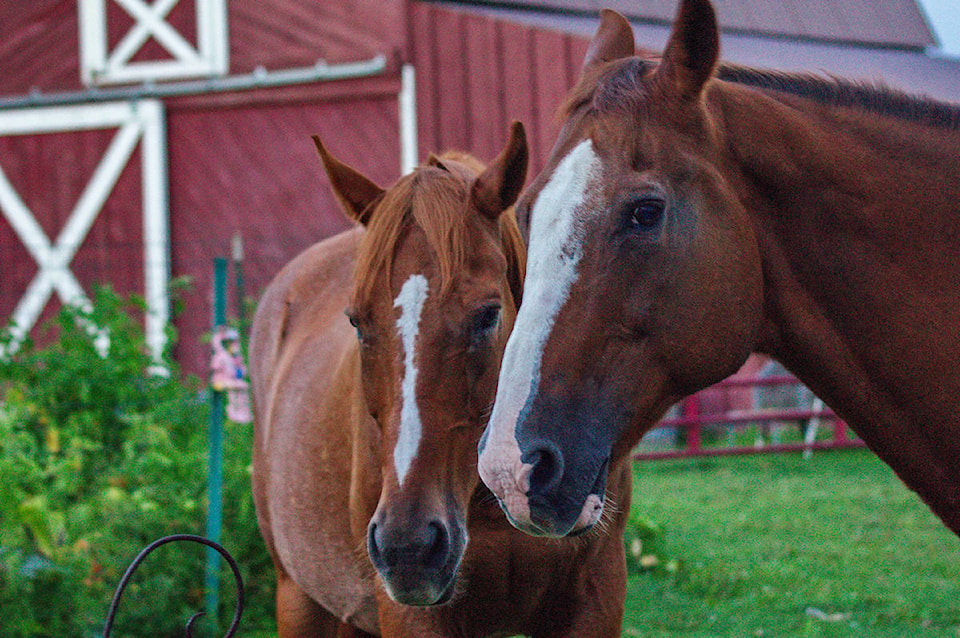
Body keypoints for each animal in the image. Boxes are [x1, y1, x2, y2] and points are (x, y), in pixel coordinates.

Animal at [248, 122, 632, 636]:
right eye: (357, 322)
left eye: (487, 315)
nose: (407, 547)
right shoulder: (412, 614)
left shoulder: (593, 596)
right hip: (298, 596)